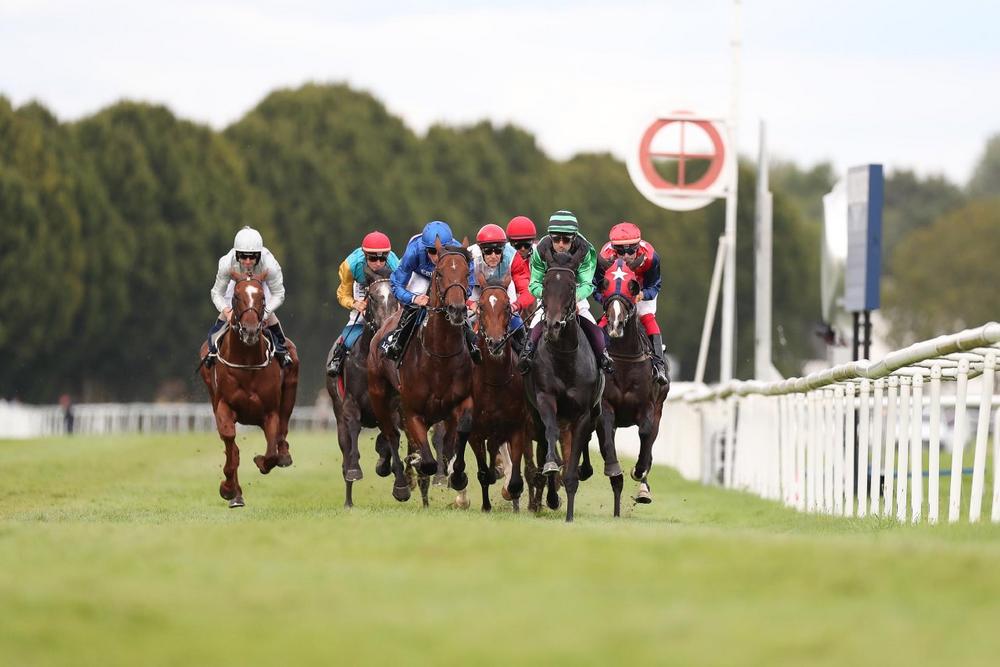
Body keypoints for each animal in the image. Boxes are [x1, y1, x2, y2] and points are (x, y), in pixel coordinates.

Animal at [197, 274, 298, 508]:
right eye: (236, 297)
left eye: (262, 297)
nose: (250, 330)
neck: (247, 363)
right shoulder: (224, 407)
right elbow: (231, 447)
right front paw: (228, 490)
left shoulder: (269, 412)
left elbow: (271, 452)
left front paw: (262, 461)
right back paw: (235, 493)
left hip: (291, 385)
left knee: (283, 428)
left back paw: (284, 454)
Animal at [370, 237, 474, 504]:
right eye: (440, 273)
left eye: (467, 272)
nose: (457, 309)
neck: (439, 355)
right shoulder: (412, 411)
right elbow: (426, 461)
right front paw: (416, 464)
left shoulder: (460, 404)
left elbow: (454, 441)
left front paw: (457, 477)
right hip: (380, 395)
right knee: (392, 435)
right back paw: (401, 484)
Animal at [452, 272, 536, 512]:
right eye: (481, 307)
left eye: (507, 306)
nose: (496, 342)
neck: (495, 382)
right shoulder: (475, 431)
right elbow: (482, 472)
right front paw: (486, 504)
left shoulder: (517, 427)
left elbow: (516, 475)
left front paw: (511, 490)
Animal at [524, 241, 608, 520]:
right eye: (546, 283)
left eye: (571, 286)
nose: (552, 325)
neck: (564, 358)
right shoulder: (545, 398)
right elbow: (550, 441)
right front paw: (552, 468)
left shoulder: (582, 414)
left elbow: (573, 463)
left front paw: (570, 514)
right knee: (544, 444)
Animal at [592, 256, 672, 500]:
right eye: (605, 283)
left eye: (633, 286)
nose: (616, 324)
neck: (626, 360)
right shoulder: (606, 405)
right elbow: (606, 437)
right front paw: (613, 469)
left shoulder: (649, 406)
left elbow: (646, 435)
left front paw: (638, 472)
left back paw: (644, 487)